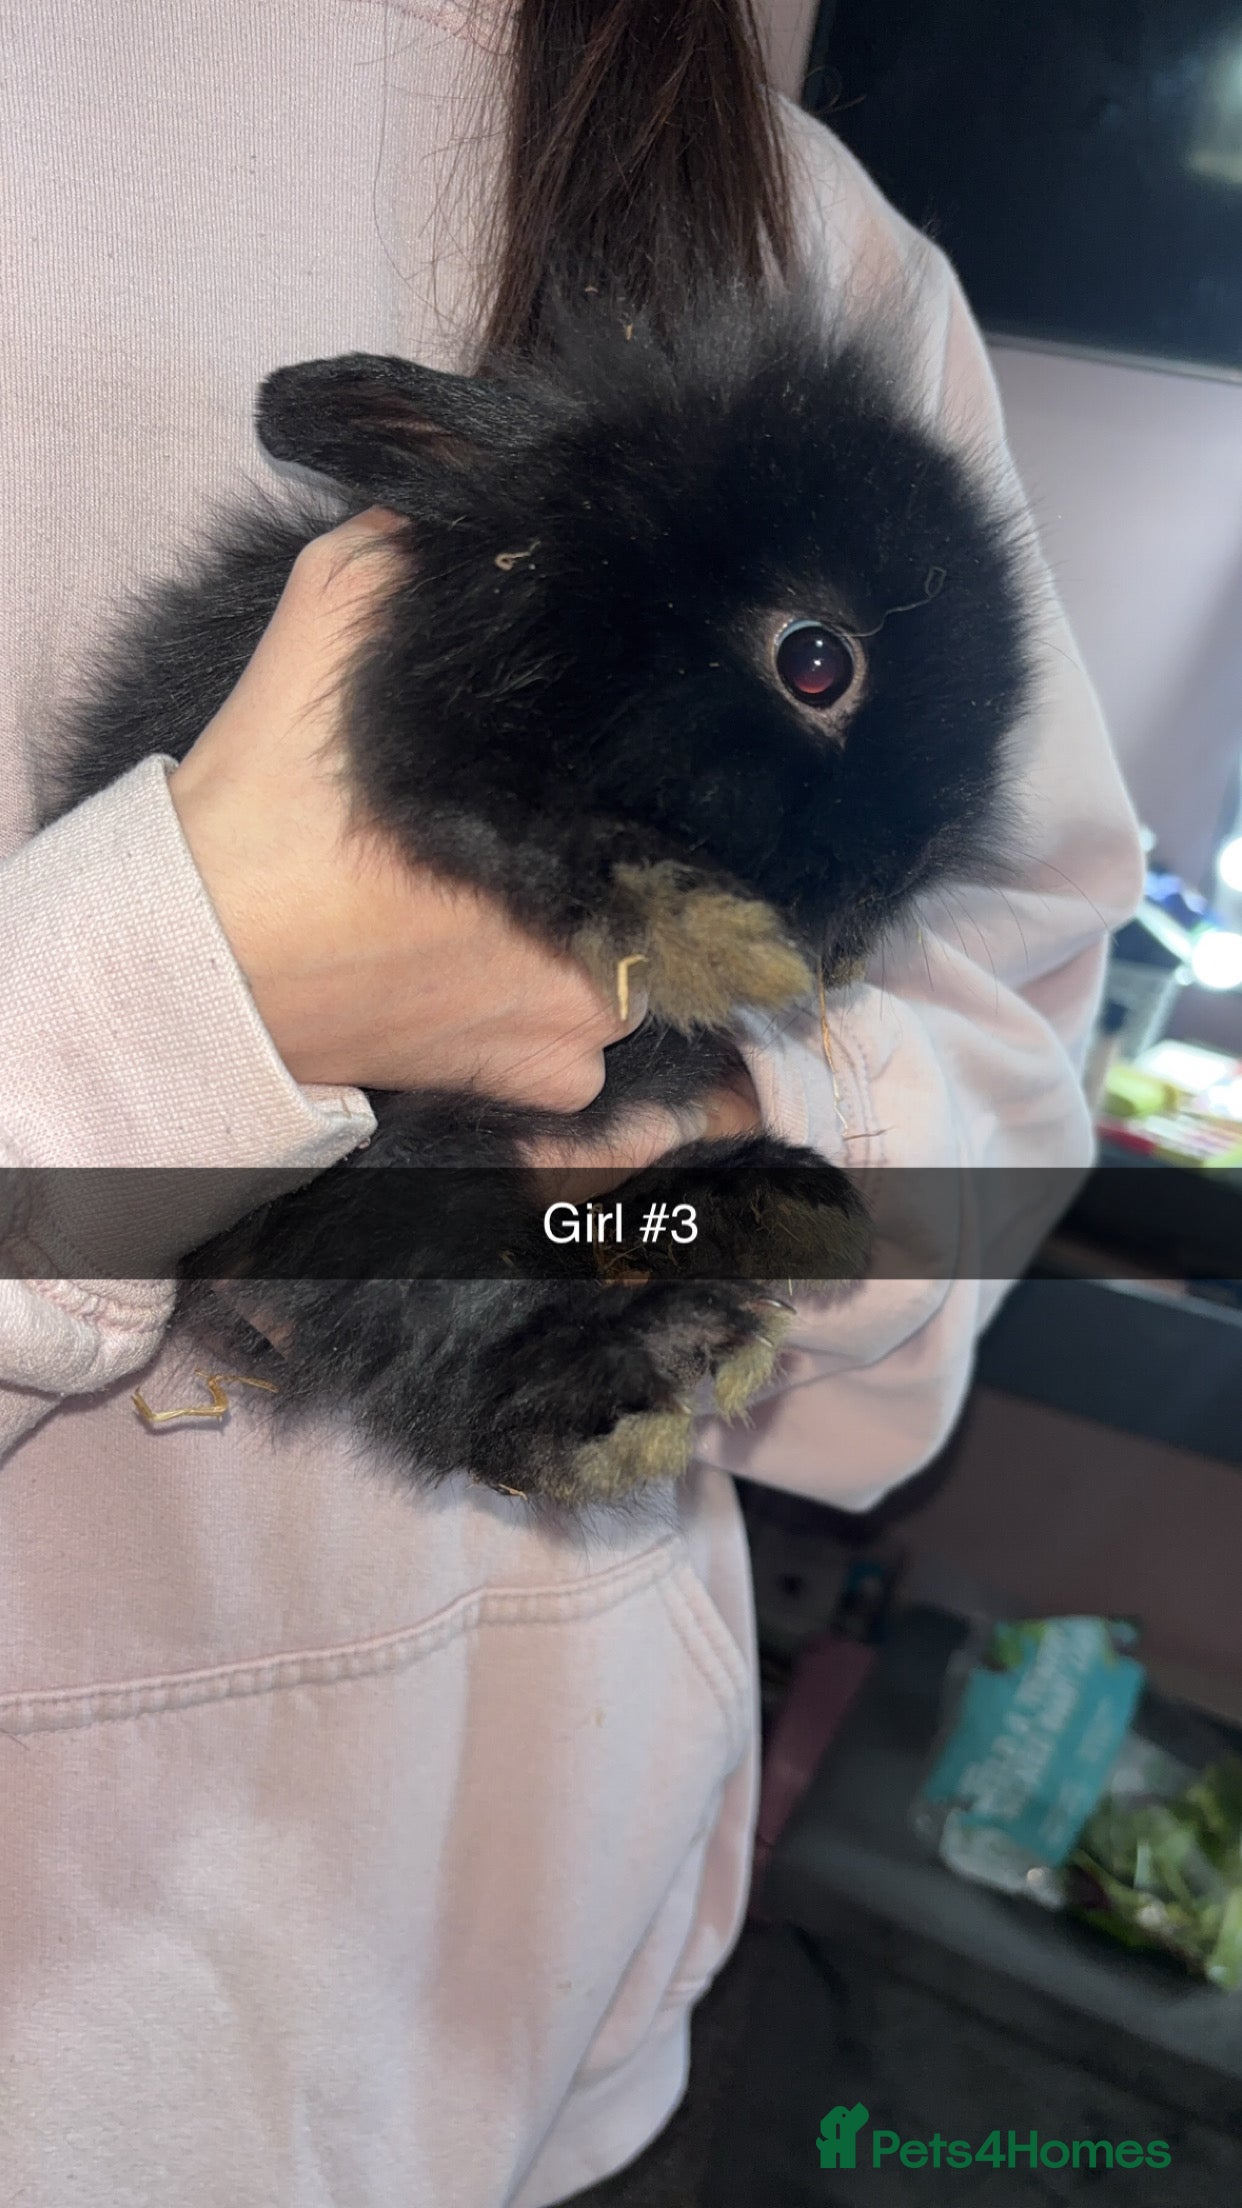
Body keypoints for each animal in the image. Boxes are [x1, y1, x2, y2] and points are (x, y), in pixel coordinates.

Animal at [40, 276, 1033, 1510]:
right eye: (815, 663)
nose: (902, 871)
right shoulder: (436, 744)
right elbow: (548, 837)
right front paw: (712, 936)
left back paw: (783, 1213)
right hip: (392, 1186)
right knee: (460, 1352)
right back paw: (655, 1367)